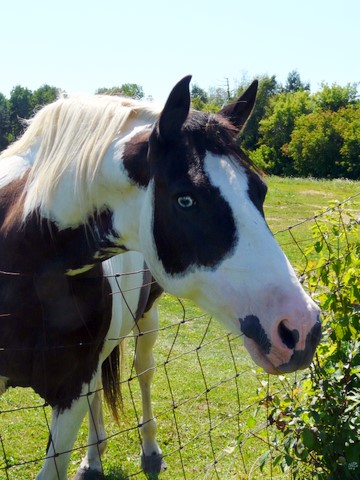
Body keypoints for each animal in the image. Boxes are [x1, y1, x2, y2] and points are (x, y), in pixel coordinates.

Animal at [0, 77, 322, 478]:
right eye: (186, 200)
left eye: (260, 191)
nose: (302, 328)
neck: (23, 269)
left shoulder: (70, 395)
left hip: (146, 321)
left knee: (143, 373)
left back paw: (146, 451)